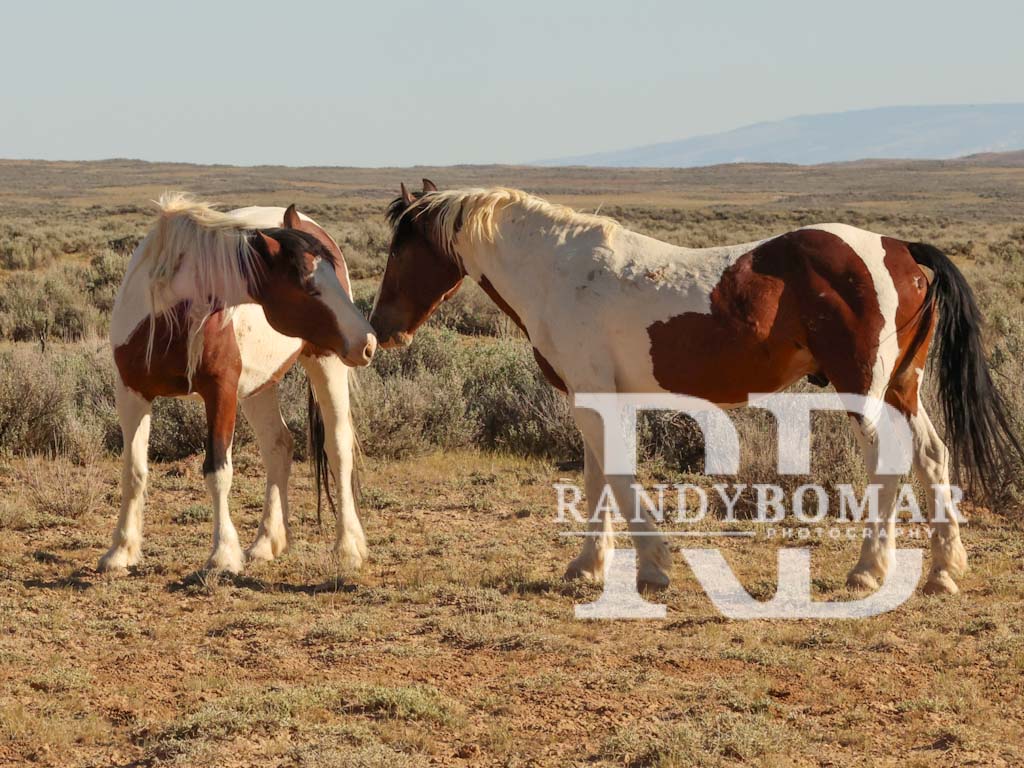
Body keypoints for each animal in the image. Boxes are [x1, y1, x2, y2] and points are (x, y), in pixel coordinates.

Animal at [100, 194, 376, 575]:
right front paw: (120, 551)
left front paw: (222, 554)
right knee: (278, 446)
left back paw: (348, 547)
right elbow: (134, 472)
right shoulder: (132, 393)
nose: (368, 342)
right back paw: (266, 543)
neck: (167, 313)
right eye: (310, 287)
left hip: (327, 362)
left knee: (337, 448)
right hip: (260, 386)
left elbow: (218, 471)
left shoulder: (221, 393)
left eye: (333, 277)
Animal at [369, 180, 1021, 596]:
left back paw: (869, 572)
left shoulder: (593, 398)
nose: (381, 328)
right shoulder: (596, 399)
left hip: (863, 389)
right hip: (901, 387)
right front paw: (588, 567)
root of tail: (900, 249)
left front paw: (652, 567)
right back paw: (942, 572)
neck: (559, 272)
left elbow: (618, 479)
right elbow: (598, 478)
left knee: (889, 461)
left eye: (402, 248)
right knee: (933, 455)